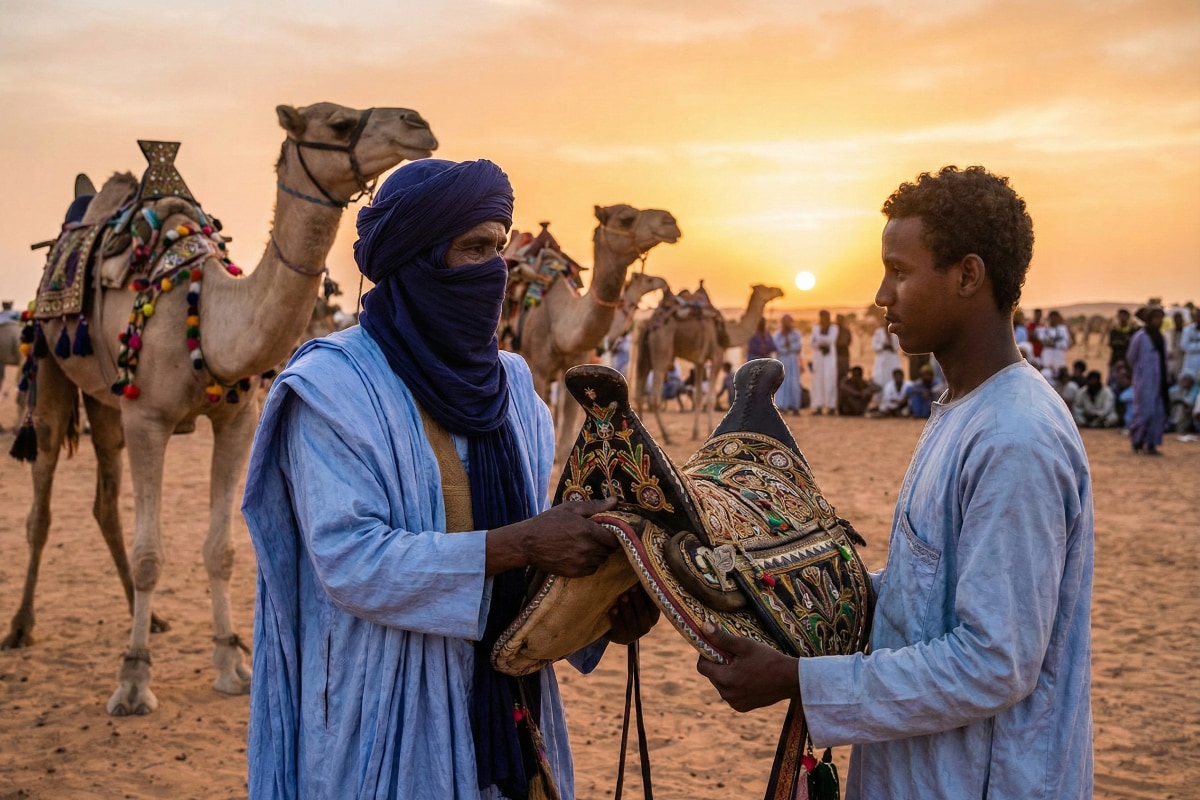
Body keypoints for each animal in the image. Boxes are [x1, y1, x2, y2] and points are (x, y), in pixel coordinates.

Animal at [3, 102, 437, 716]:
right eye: (335, 122)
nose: (417, 123)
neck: (207, 315)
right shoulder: (148, 419)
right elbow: (152, 555)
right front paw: (133, 679)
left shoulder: (236, 418)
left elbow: (222, 550)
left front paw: (231, 660)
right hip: (49, 365)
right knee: (41, 502)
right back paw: (21, 626)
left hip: (106, 401)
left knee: (105, 500)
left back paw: (151, 617)